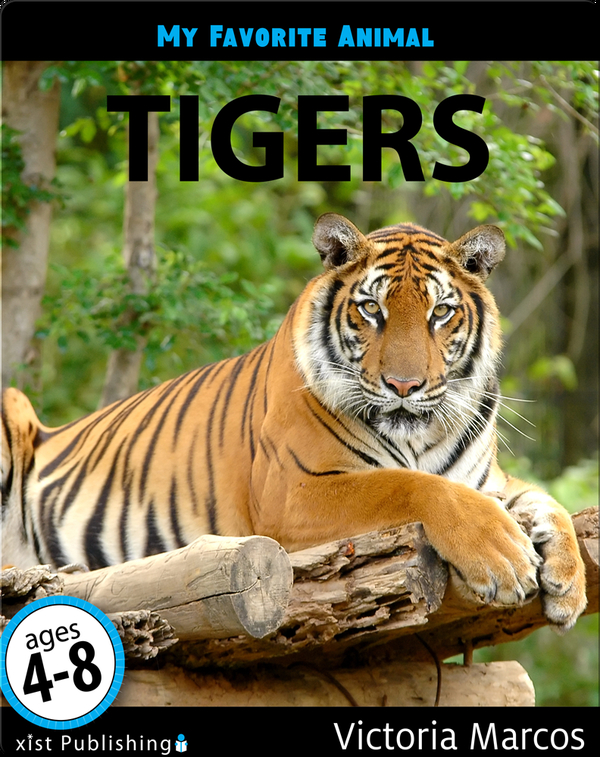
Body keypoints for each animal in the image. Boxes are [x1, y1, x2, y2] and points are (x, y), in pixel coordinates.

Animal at [1, 212, 587, 631]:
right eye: (371, 309)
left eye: (440, 313)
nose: (404, 386)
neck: (418, 436)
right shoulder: (295, 492)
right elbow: (408, 485)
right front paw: (502, 558)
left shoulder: (487, 480)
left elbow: (546, 501)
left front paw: (568, 582)